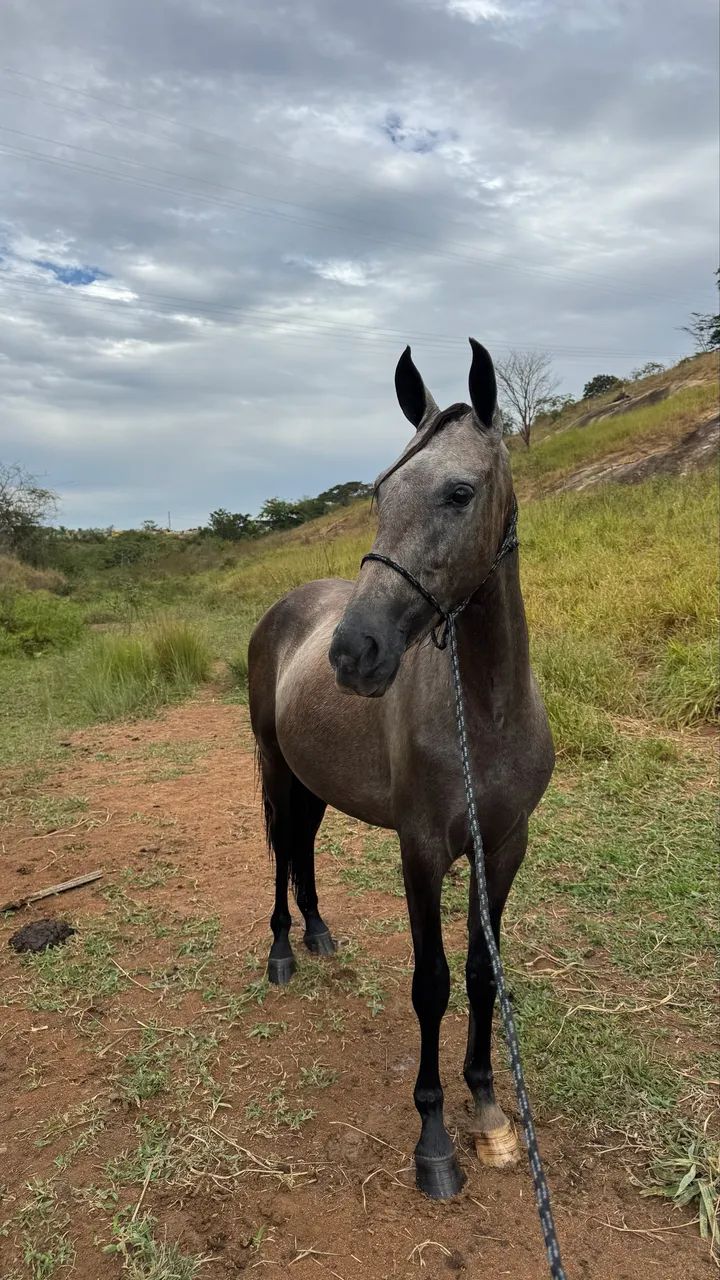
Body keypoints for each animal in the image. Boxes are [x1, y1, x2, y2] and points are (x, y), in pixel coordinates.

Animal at [248, 339, 554, 1200]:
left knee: (304, 849)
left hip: (315, 783)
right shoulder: (419, 852)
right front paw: (435, 1139)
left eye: (459, 492)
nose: (355, 653)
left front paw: (487, 1106)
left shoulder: (503, 846)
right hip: (277, 772)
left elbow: (482, 972)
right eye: (382, 491)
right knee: (281, 850)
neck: (483, 715)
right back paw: (283, 951)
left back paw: (318, 932)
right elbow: (432, 983)